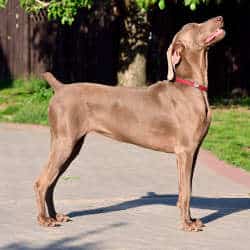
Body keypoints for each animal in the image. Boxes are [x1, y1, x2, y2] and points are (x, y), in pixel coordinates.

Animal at [34, 15, 225, 231]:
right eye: (194, 26)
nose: (220, 18)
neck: (191, 87)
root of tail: (60, 87)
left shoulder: (195, 150)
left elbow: (187, 188)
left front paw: (191, 220)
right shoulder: (185, 151)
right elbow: (185, 191)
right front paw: (186, 224)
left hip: (72, 146)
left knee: (52, 183)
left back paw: (55, 216)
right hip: (65, 142)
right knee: (42, 182)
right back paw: (44, 219)